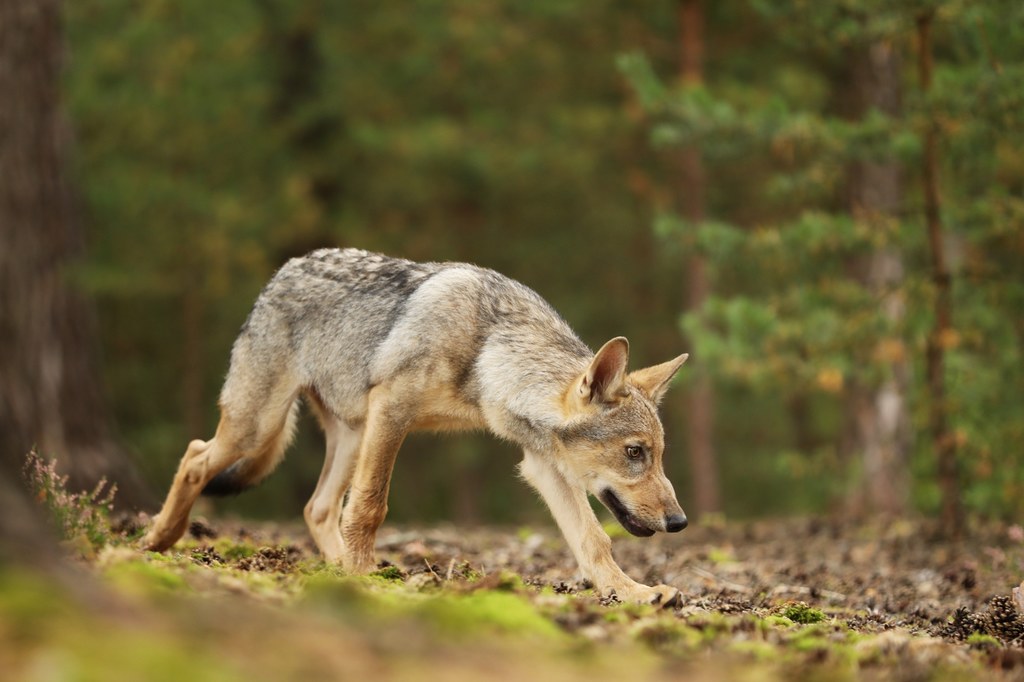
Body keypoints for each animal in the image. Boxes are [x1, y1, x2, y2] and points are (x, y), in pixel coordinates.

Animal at [142, 246, 688, 602]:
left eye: (658, 454)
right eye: (635, 452)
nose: (680, 522)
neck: (487, 356)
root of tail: (285, 269)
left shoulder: (542, 464)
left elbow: (593, 541)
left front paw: (632, 592)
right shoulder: (393, 411)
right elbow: (370, 508)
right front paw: (369, 579)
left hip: (349, 436)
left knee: (317, 507)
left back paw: (335, 571)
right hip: (258, 427)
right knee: (195, 455)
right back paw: (156, 540)